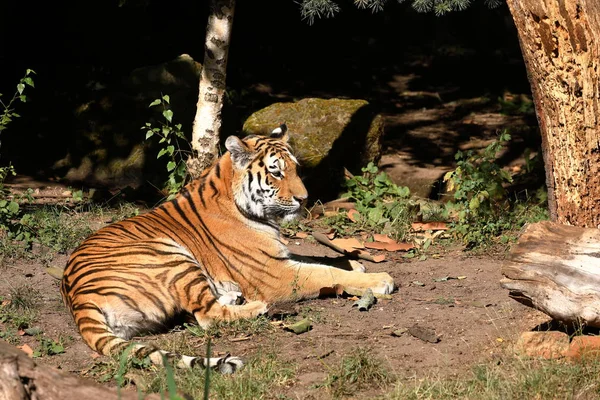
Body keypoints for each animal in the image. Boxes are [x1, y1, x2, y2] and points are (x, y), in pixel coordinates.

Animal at [61, 123, 396, 374]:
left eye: (295, 169)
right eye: (276, 172)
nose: (304, 199)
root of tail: (78, 300)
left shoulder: (278, 256)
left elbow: (316, 259)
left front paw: (355, 264)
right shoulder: (275, 274)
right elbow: (322, 273)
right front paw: (379, 279)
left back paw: (233, 296)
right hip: (172, 256)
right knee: (208, 316)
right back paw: (257, 306)